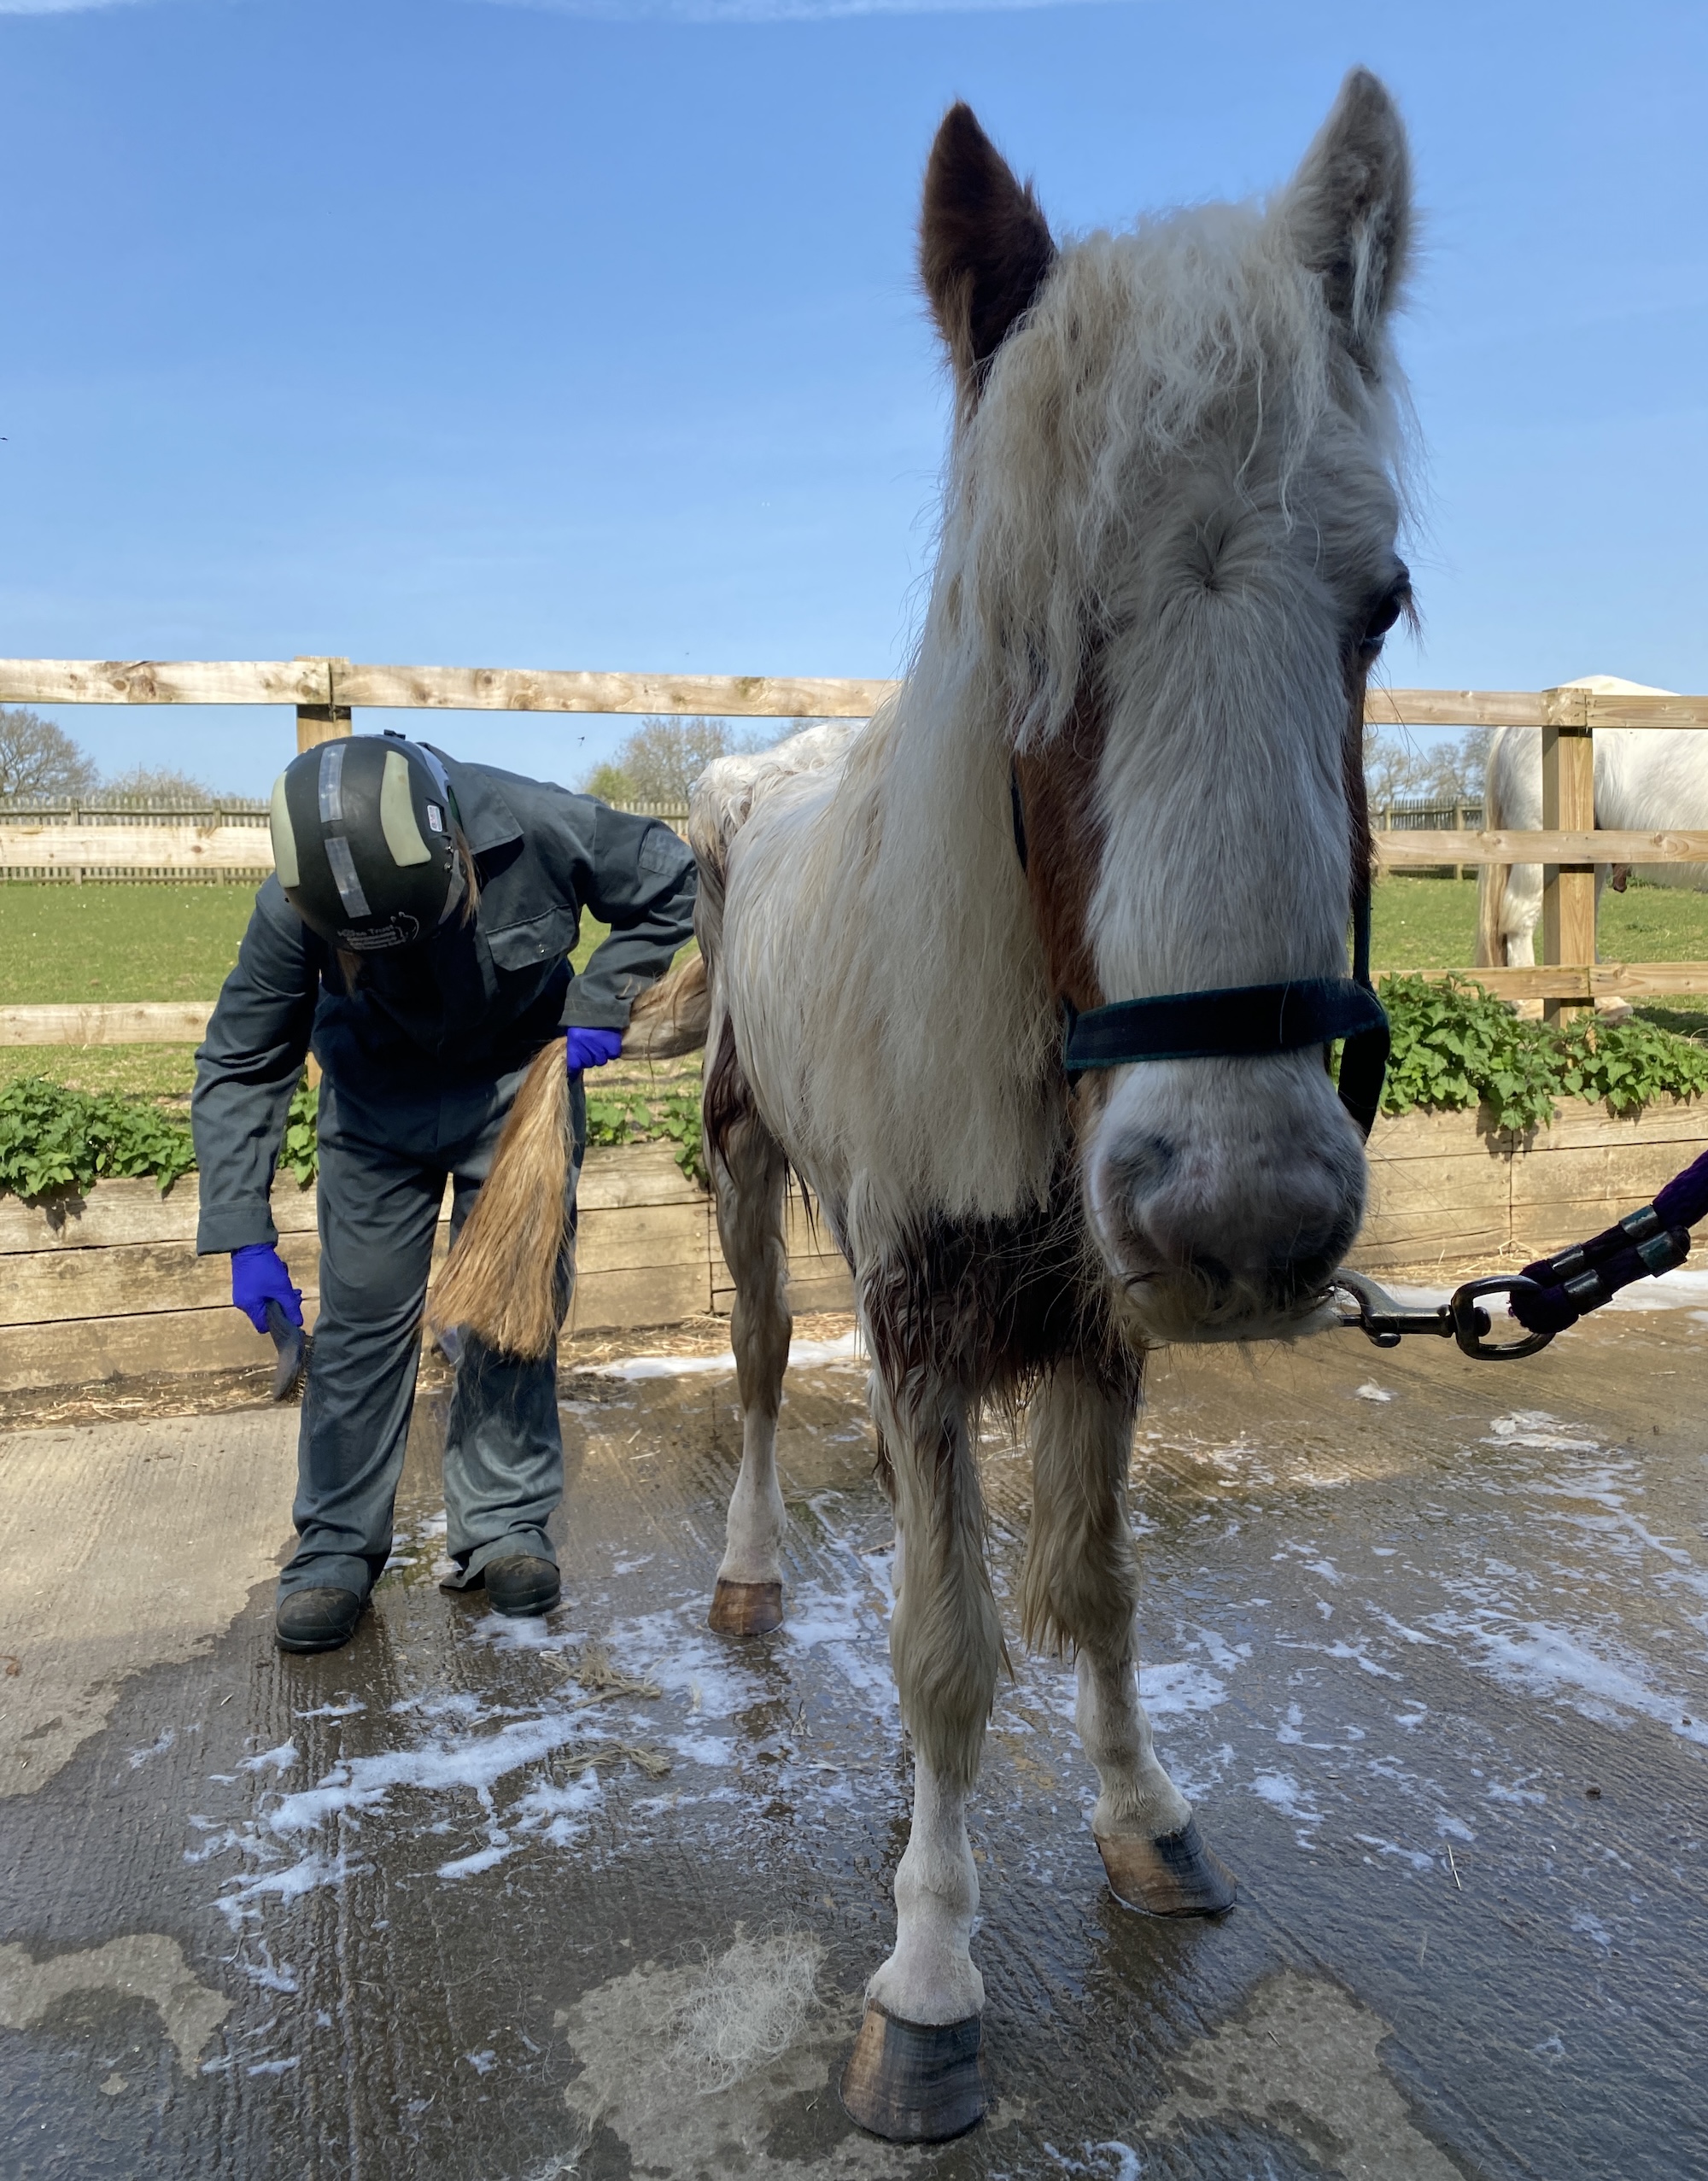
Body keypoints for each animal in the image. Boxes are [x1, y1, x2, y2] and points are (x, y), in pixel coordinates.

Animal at [687, 72, 1416, 2143]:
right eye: (1036, 619)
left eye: (1380, 606)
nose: (1242, 1215)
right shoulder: (930, 1318)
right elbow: (947, 1655)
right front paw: (929, 1972)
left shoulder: (1097, 1330)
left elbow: (1089, 1586)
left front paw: (1140, 1815)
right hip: (749, 1173)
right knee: (762, 1367)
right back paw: (755, 1567)